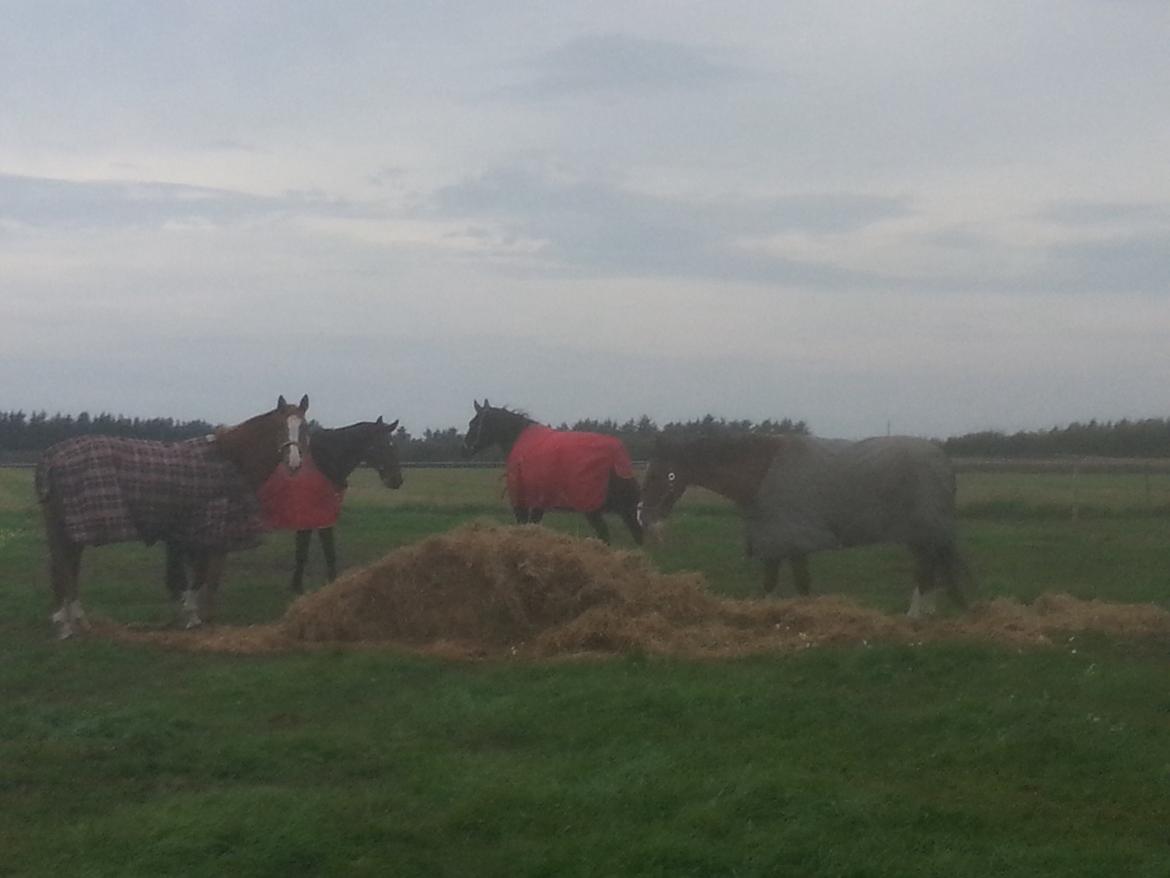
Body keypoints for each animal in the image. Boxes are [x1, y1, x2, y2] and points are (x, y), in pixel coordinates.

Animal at [37, 398, 311, 641]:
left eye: (305, 427)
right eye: (280, 426)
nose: (294, 462)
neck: (230, 460)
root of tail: (52, 456)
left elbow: (201, 577)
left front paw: (193, 616)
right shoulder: (216, 534)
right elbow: (206, 579)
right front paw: (199, 618)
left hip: (70, 529)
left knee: (68, 568)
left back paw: (78, 620)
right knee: (63, 568)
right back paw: (65, 627)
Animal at [636, 435, 973, 618]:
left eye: (658, 475)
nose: (644, 516)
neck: (761, 473)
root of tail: (944, 461)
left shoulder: (785, 537)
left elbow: (782, 582)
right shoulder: (783, 539)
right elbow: (793, 582)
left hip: (921, 531)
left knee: (925, 570)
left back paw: (913, 616)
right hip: (921, 535)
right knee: (929, 568)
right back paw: (927, 611)